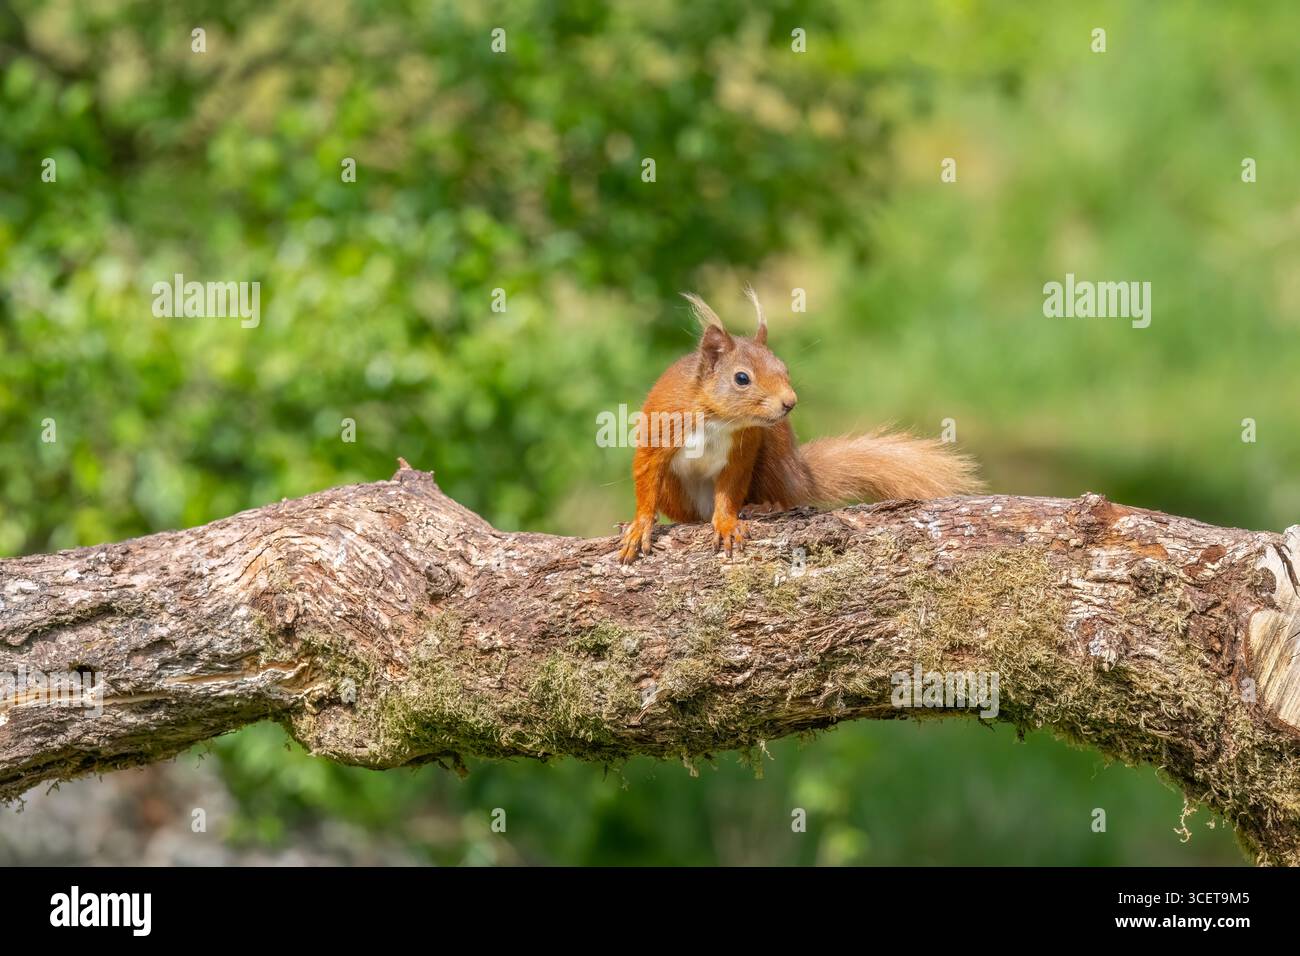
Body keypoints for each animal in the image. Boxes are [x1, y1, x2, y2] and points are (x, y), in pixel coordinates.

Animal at [617, 288, 982, 563]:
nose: (789, 402)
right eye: (741, 378)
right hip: (677, 490)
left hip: (773, 454)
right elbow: (646, 474)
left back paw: (765, 506)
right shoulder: (662, 427)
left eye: (784, 368)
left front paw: (726, 524)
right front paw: (639, 527)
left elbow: (730, 488)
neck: (717, 419)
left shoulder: (744, 448)